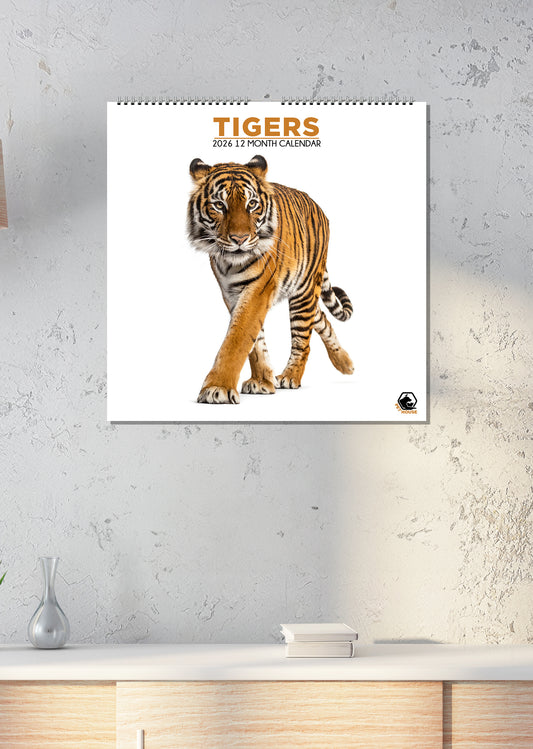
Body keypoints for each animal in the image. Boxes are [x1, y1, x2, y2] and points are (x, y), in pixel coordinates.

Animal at [187, 154, 354, 404]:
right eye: (219, 205)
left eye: (252, 204)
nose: (239, 239)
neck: (230, 264)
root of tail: (317, 206)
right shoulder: (232, 293)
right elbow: (255, 343)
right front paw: (262, 381)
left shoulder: (258, 290)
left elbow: (237, 339)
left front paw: (217, 388)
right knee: (322, 318)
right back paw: (345, 363)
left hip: (304, 292)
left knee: (302, 340)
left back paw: (291, 376)